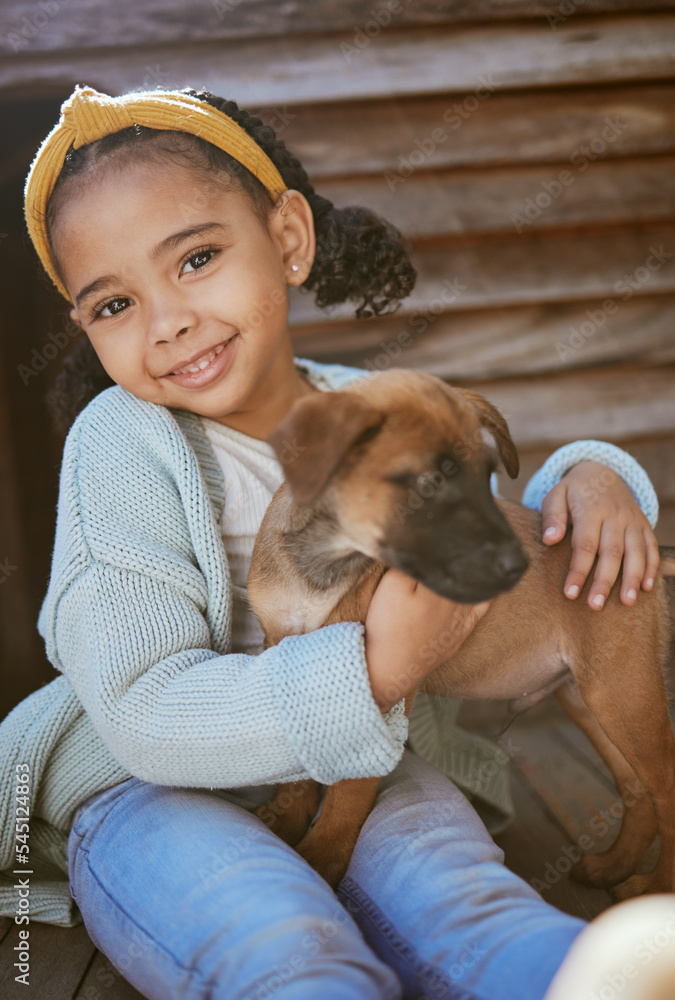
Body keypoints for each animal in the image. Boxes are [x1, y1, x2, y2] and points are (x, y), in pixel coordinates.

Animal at [248, 368, 675, 900]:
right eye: (428, 485)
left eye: (486, 478)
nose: (517, 566)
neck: (327, 560)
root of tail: (651, 550)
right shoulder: (289, 658)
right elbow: (298, 765)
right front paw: (285, 824)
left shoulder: (376, 681)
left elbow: (349, 789)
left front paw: (320, 857)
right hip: (590, 697)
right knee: (638, 790)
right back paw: (614, 868)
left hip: (623, 694)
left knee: (666, 792)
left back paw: (655, 883)